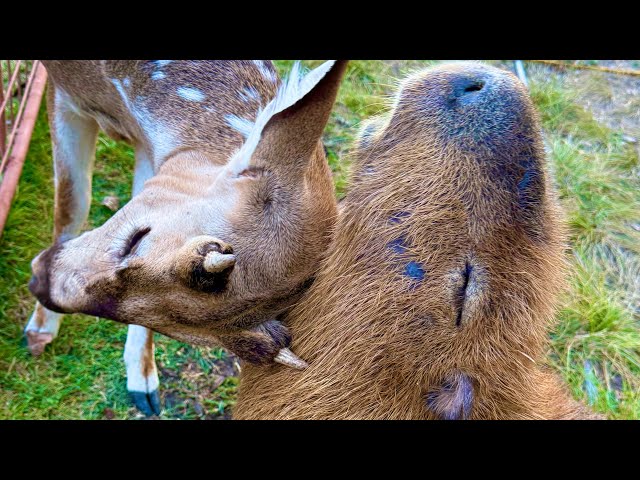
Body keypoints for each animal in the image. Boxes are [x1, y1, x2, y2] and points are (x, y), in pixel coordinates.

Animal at [26, 60, 348, 416]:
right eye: (137, 237)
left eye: (184, 332)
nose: (40, 281)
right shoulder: (62, 93)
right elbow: (72, 204)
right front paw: (39, 329)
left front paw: (142, 379)